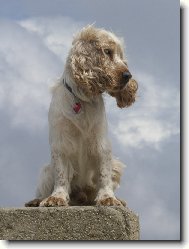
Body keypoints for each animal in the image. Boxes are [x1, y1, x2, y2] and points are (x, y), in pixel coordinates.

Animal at [25, 25, 137, 208]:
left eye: (122, 57)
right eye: (107, 52)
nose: (128, 76)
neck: (82, 100)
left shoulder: (101, 145)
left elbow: (103, 175)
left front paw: (107, 198)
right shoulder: (61, 143)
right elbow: (61, 174)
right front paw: (56, 198)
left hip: (116, 166)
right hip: (46, 171)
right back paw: (37, 200)